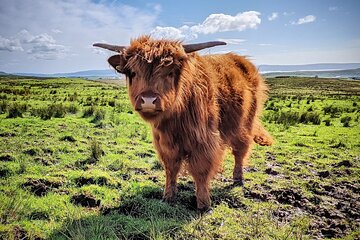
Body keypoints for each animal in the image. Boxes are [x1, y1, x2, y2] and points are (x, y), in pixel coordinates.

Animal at [93, 35, 272, 210]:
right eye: (133, 72)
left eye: (170, 72)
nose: (148, 100)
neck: (175, 122)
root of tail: (242, 60)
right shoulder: (165, 144)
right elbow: (171, 169)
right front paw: (168, 197)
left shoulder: (203, 141)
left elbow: (201, 170)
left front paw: (203, 203)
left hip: (245, 124)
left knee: (240, 151)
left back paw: (238, 179)